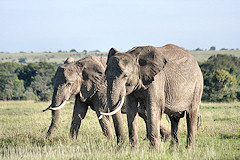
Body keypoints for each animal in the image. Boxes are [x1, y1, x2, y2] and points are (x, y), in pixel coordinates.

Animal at [43, 55, 171, 141]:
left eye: (69, 84)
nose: (46, 139)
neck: (80, 64)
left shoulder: (102, 89)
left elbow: (101, 114)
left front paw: (110, 141)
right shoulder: (83, 90)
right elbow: (78, 113)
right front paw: (72, 141)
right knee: (144, 114)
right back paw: (164, 137)